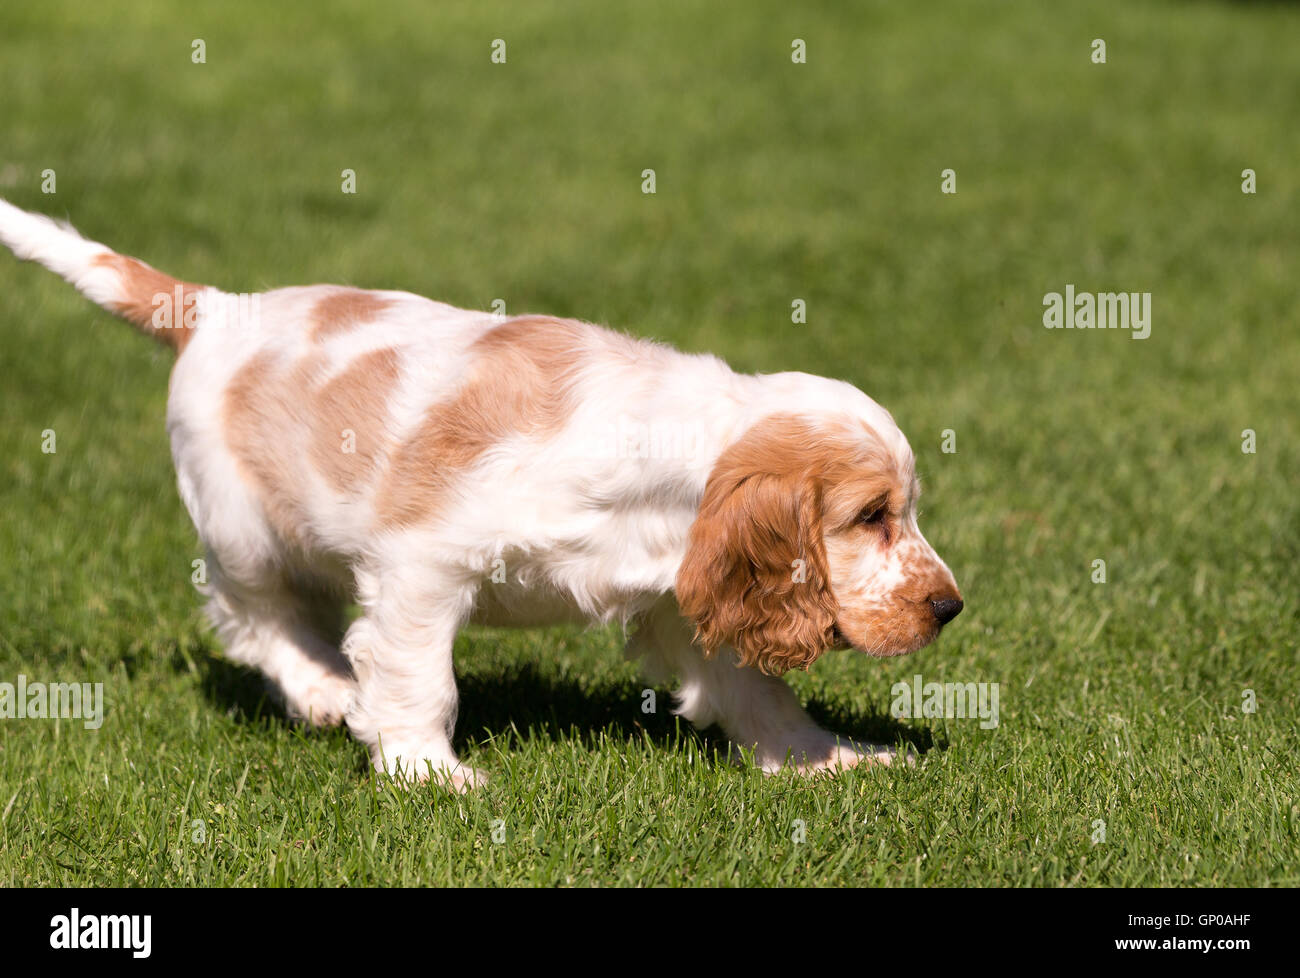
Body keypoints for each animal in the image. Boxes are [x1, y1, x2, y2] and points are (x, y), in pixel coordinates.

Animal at [0, 198, 961, 785]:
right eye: (871, 517)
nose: (950, 608)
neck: (665, 460)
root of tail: (213, 306)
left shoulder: (685, 593)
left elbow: (758, 692)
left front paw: (830, 760)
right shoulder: (423, 563)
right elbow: (421, 678)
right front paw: (428, 774)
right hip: (244, 529)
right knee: (251, 618)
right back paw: (322, 690)